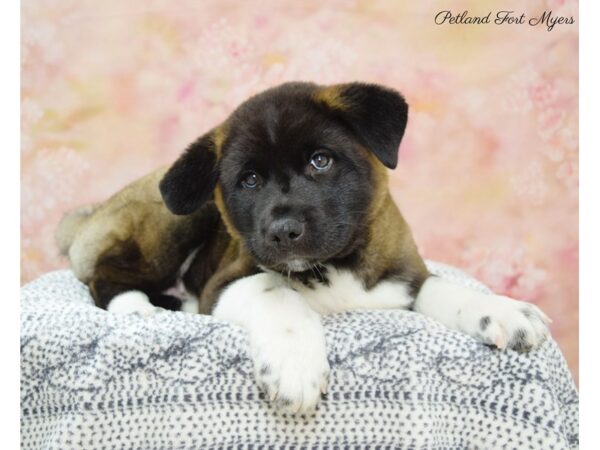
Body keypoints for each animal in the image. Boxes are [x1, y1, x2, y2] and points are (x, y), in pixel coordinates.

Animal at [58, 81, 552, 414]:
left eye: (321, 161)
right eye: (249, 180)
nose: (282, 232)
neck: (336, 264)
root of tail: (92, 214)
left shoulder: (404, 275)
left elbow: (443, 287)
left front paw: (501, 310)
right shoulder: (223, 283)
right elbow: (275, 291)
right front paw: (294, 365)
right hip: (177, 219)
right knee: (106, 275)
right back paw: (137, 309)